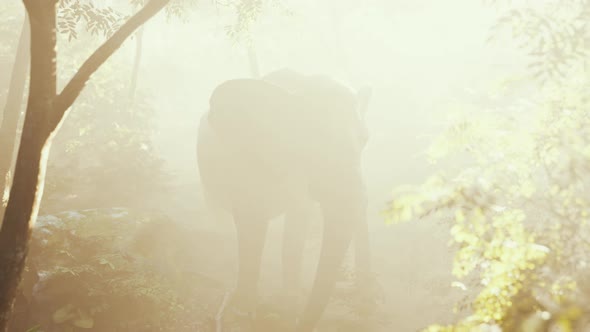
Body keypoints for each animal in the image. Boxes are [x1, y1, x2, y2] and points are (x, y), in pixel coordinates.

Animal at [199, 68, 374, 330]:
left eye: (365, 140)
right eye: (310, 142)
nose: (300, 324)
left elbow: (297, 226)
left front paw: (286, 305)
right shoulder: (244, 161)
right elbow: (251, 224)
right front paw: (244, 310)